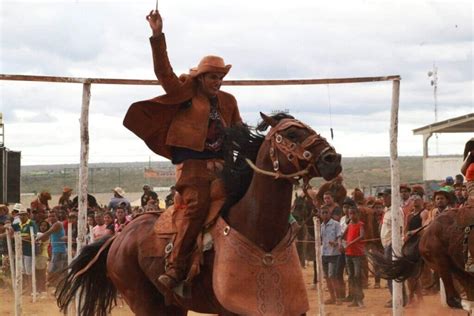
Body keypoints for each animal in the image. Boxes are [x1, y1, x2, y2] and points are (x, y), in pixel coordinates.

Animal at [57, 112, 342, 314]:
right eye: (292, 133)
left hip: (172, 305)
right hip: (144, 303)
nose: (333, 159)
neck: (261, 233)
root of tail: (118, 237)